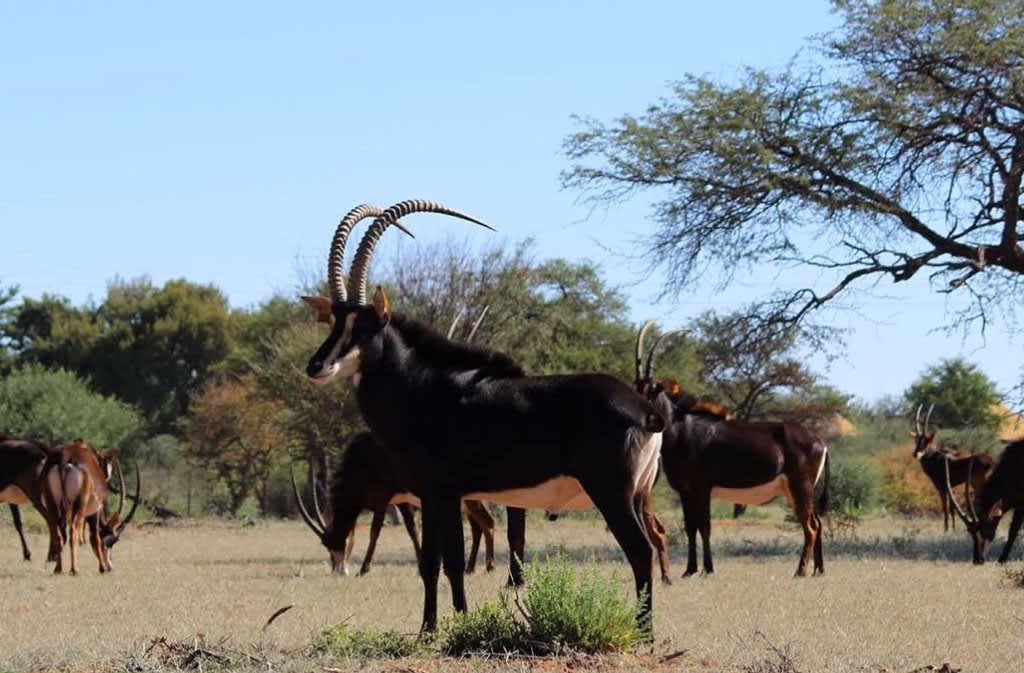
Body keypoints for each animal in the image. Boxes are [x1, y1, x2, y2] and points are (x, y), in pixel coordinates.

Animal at [39, 438, 140, 573]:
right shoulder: (96, 510)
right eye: (111, 542)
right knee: (73, 531)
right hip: (80, 505)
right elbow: (95, 536)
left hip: (52, 503)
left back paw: (58, 569)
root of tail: (65, 456)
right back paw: (74, 569)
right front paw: (102, 567)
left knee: (58, 533)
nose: (110, 567)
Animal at [299, 199, 663, 635]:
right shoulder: (431, 495)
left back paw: (644, 636)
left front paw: (456, 624)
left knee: (640, 550)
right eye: (336, 321)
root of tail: (645, 411)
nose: (317, 366)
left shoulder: (442, 492)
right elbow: (430, 563)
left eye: (365, 326)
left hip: (612, 493)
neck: (420, 386)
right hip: (637, 495)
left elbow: (452, 562)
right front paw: (430, 629)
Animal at [630, 323, 831, 573]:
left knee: (810, 526)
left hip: (800, 487)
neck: (682, 430)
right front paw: (689, 570)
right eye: (635, 386)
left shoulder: (702, 488)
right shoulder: (685, 491)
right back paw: (818, 570)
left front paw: (708, 569)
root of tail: (821, 442)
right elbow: (690, 527)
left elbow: (704, 527)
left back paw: (800, 571)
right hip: (796, 490)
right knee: (817, 522)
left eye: (653, 388)